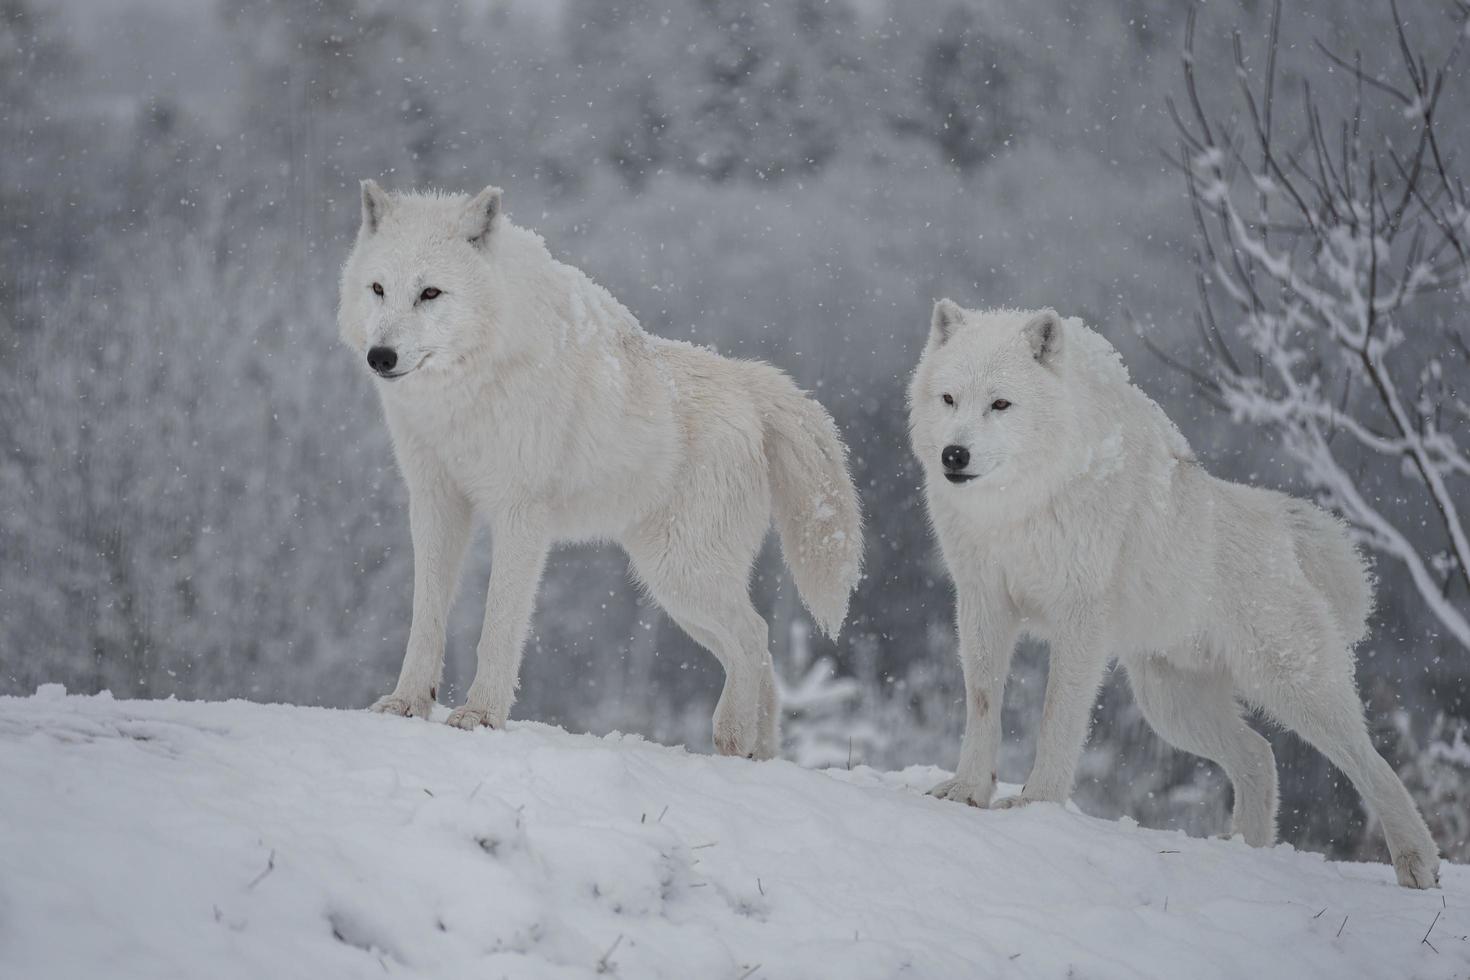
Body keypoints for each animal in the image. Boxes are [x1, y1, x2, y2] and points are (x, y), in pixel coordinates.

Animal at [336, 179, 858, 758]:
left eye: (430, 293)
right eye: (378, 289)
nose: (381, 356)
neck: (466, 391)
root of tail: (749, 382)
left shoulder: (520, 514)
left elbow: (499, 624)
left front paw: (480, 715)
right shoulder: (435, 503)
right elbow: (424, 617)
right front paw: (407, 703)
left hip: (682, 576)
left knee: (754, 637)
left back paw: (731, 738)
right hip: (676, 590)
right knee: (761, 648)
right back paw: (757, 755)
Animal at [911, 301, 1440, 887]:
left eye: (1000, 404)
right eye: (949, 399)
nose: (953, 455)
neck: (1017, 511)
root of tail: (1281, 528)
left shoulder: (1079, 619)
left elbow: (1056, 716)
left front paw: (1036, 804)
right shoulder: (982, 601)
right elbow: (983, 701)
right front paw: (967, 791)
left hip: (1293, 690)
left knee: (1374, 765)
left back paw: (1418, 864)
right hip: (1171, 707)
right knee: (1259, 756)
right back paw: (1245, 851)